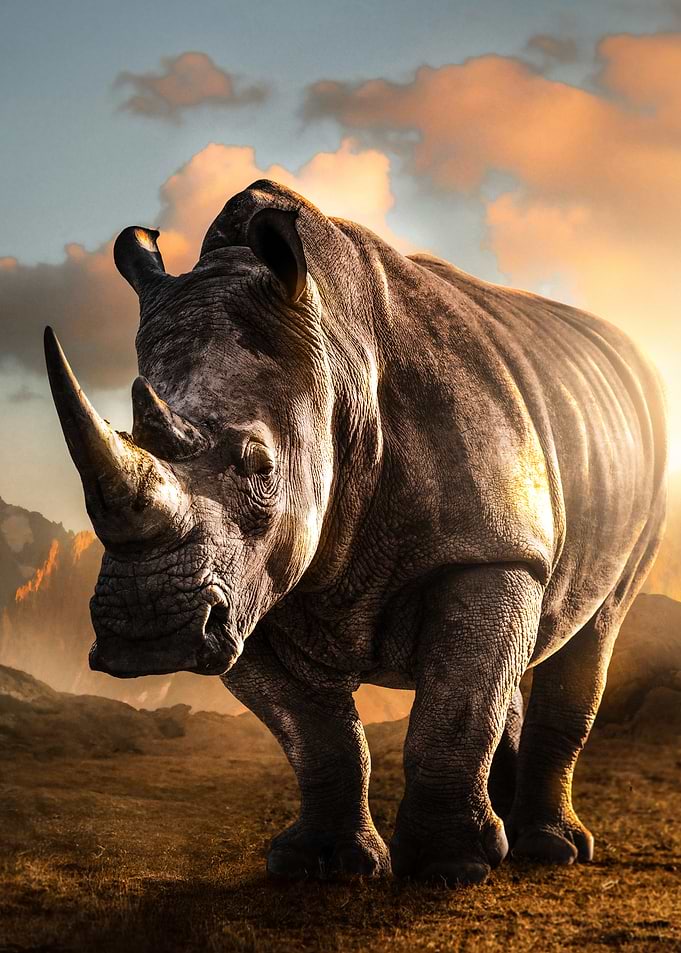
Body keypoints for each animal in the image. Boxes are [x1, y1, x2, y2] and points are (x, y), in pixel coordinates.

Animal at [44, 179, 667, 886]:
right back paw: (508, 833)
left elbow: (453, 709)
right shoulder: (248, 585)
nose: (147, 633)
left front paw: (448, 870)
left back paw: (547, 850)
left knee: (596, 625)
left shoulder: (488, 549)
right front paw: (321, 865)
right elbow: (318, 734)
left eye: (263, 471)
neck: (338, 364)